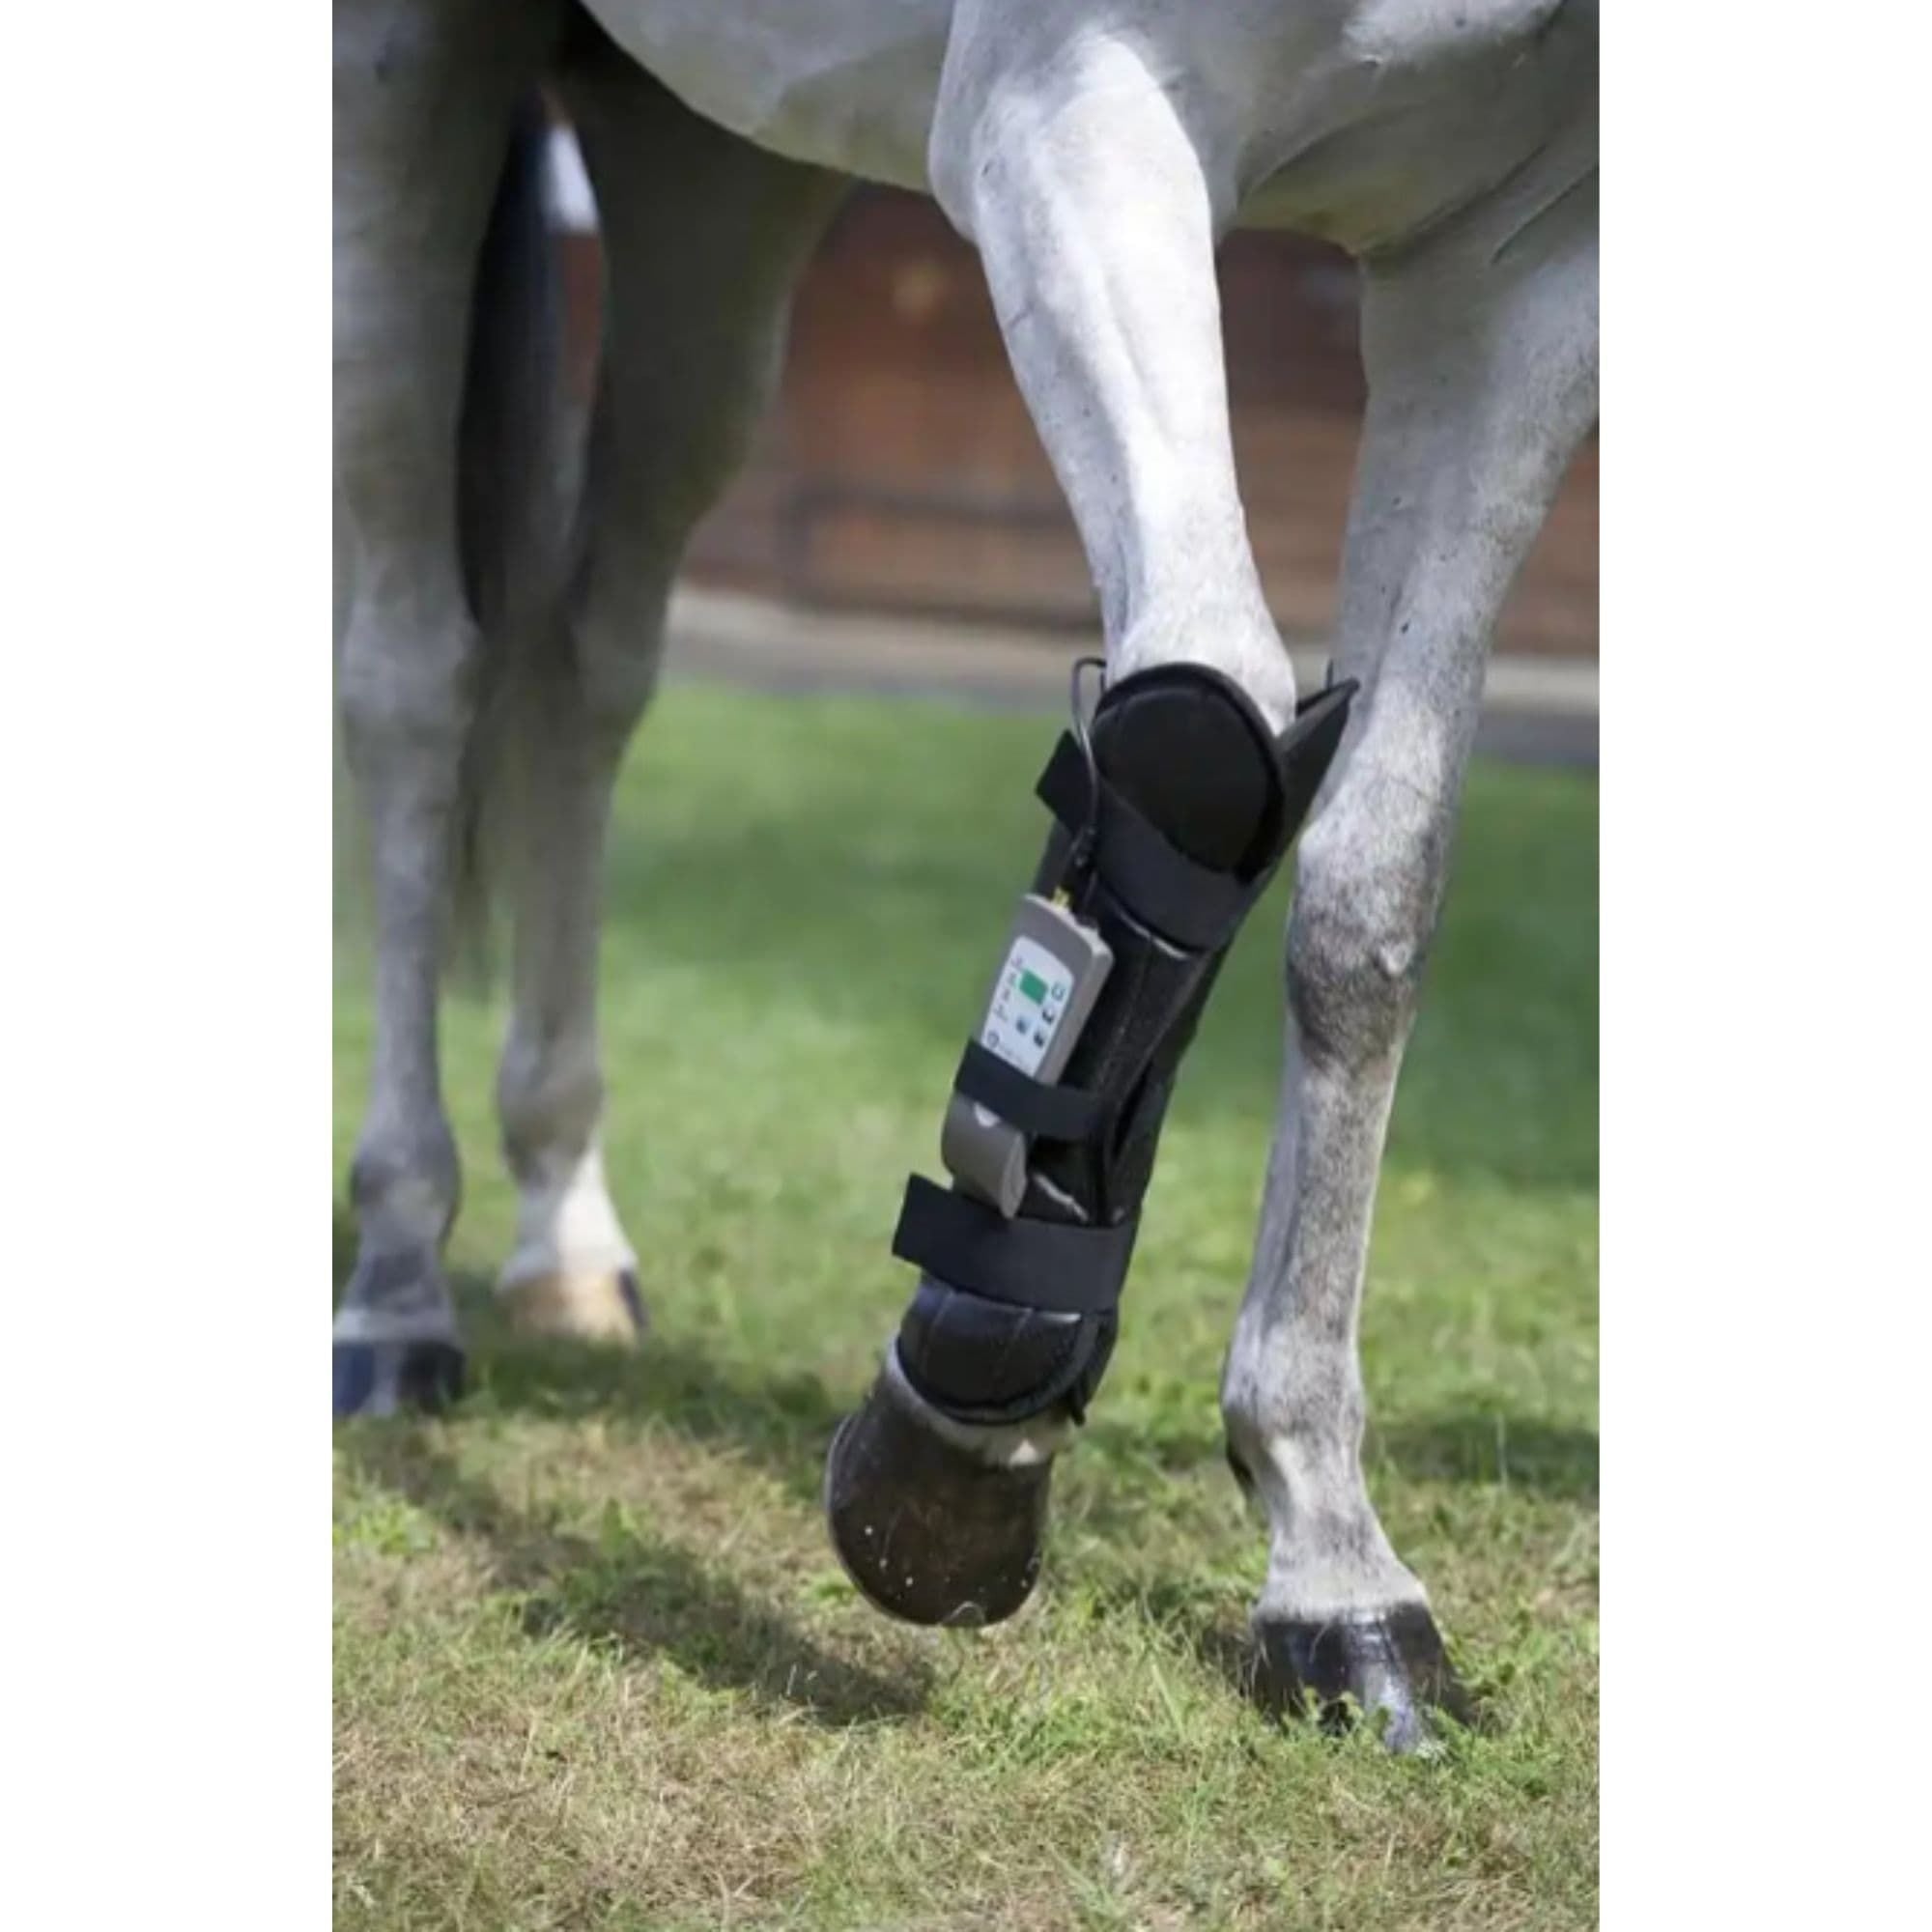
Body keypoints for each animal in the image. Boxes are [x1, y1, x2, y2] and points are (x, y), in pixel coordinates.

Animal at [333, 0, 1598, 1749]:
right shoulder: (1069, 105)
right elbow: (1207, 720)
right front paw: (954, 1446)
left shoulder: (1514, 266)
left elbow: (1373, 891)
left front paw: (1332, 1567)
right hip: (400, 87)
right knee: (413, 680)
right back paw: (395, 1288)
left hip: (713, 184)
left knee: (587, 662)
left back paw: (565, 1236)